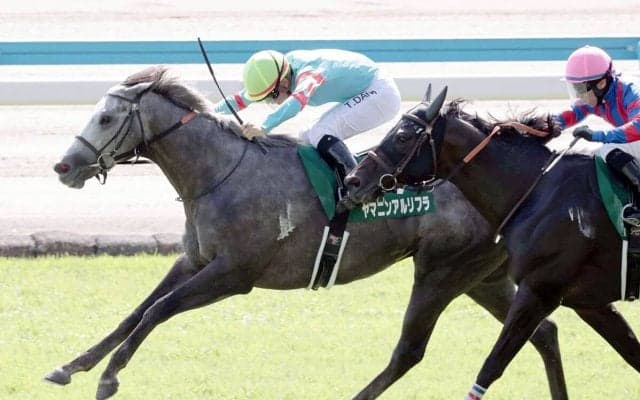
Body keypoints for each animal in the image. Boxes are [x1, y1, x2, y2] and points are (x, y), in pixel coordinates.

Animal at [47, 66, 568, 400]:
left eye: (107, 118)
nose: (64, 166)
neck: (219, 173)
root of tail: (532, 187)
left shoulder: (233, 275)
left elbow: (157, 311)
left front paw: (108, 379)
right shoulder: (194, 260)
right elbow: (135, 313)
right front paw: (71, 366)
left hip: (441, 273)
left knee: (410, 351)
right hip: (482, 277)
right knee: (542, 332)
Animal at [345, 85, 640, 399]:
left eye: (402, 137)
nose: (353, 180)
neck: (539, 192)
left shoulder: (539, 291)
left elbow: (491, 366)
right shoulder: (588, 302)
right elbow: (632, 353)